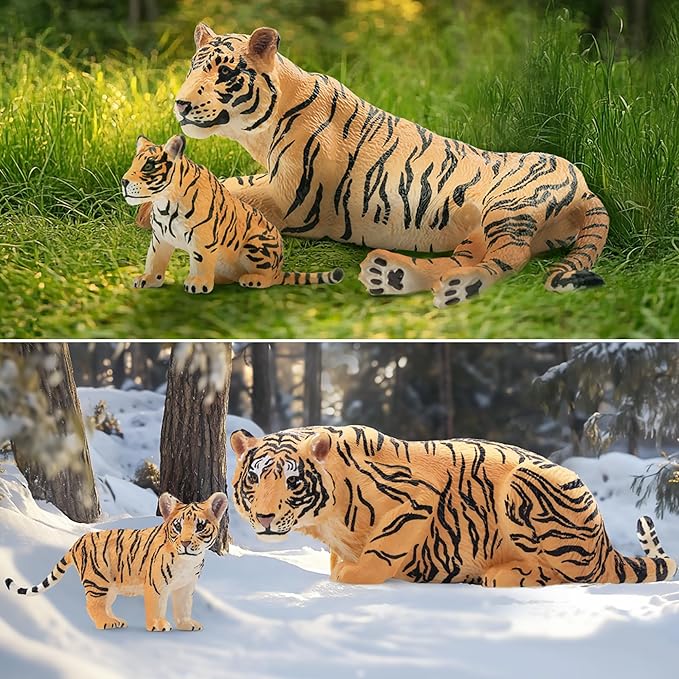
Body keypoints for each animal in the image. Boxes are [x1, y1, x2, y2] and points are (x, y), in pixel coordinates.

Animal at [4, 492, 227, 631]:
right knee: (92, 605)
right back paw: (106, 623)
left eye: (200, 526)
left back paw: (115, 620)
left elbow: (183, 606)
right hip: (97, 581)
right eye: (178, 526)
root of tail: (77, 541)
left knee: (104, 605)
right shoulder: (156, 584)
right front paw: (158, 625)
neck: (188, 561)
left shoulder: (185, 586)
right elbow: (157, 606)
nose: (186, 542)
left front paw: (187, 624)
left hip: (109, 587)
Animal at [123, 134, 343, 294]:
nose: (124, 181)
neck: (164, 203)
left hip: (256, 243)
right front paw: (148, 279)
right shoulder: (160, 238)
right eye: (133, 164)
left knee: (269, 279)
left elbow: (200, 261)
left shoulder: (202, 240)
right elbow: (154, 260)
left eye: (148, 166)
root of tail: (279, 269)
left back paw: (252, 280)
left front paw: (197, 284)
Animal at [230, 426, 676, 587]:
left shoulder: (415, 500)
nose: (265, 517)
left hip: (526, 491)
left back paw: (505, 576)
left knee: (577, 576)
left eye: (292, 481)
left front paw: (354, 574)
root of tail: (603, 544)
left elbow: (379, 552)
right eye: (254, 479)